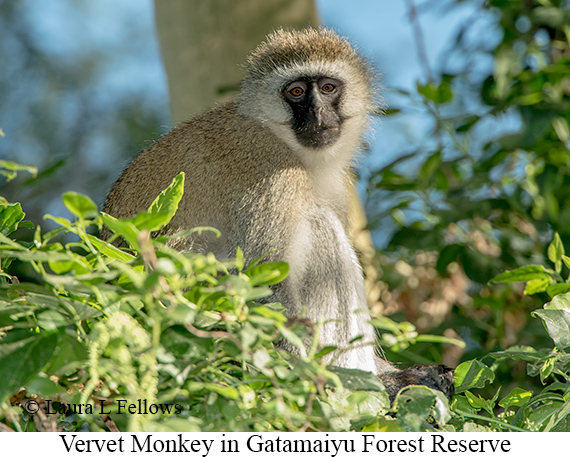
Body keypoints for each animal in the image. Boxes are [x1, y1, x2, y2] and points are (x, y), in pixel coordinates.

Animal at [103, 27, 452, 400]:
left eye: (327, 88)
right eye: (296, 92)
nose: (317, 115)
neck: (281, 137)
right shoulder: (272, 169)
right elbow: (260, 281)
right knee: (320, 228)